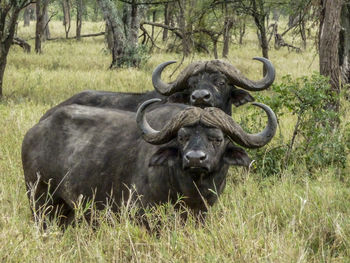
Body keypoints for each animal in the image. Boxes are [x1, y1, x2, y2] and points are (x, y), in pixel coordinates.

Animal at [22, 99, 278, 227]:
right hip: (40, 201)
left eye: (217, 138)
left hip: (66, 209)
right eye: (182, 137)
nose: (195, 158)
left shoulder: (201, 215)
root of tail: (36, 129)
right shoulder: (144, 216)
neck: (189, 189)